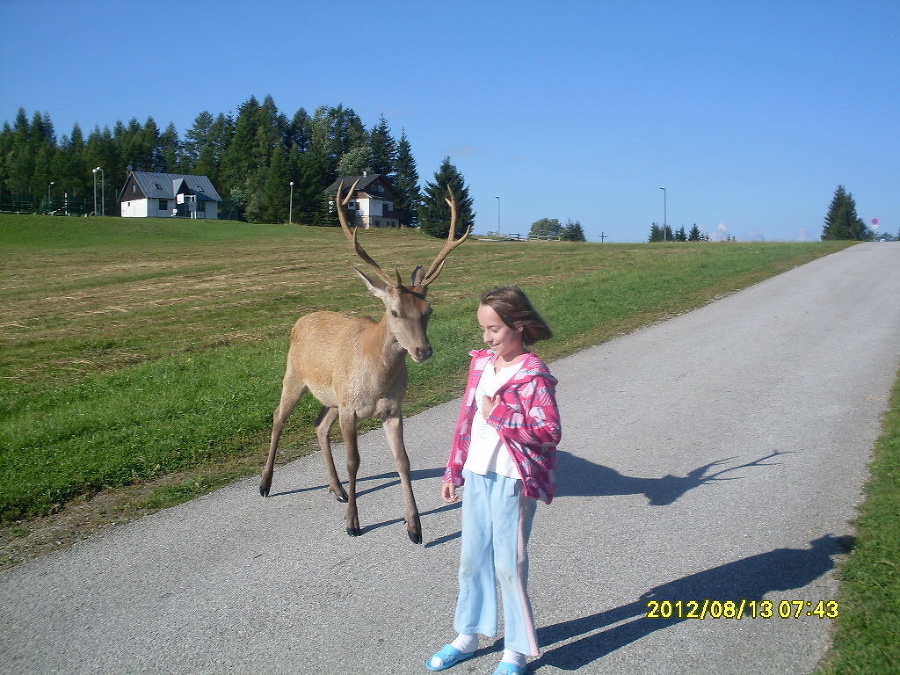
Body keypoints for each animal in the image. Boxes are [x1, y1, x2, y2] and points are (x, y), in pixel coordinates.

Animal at [260, 180, 472, 544]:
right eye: (395, 311)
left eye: (428, 310)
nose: (423, 351)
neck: (377, 378)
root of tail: (301, 320)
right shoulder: (350, 409)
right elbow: (353, 461)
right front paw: (353, 523)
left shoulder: (393, 409)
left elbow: (403, 461)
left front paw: (414, 526)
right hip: (295, 377)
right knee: (277, 417)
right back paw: (265, 484)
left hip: (332, 397)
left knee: (319, 426)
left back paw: (337, 489)